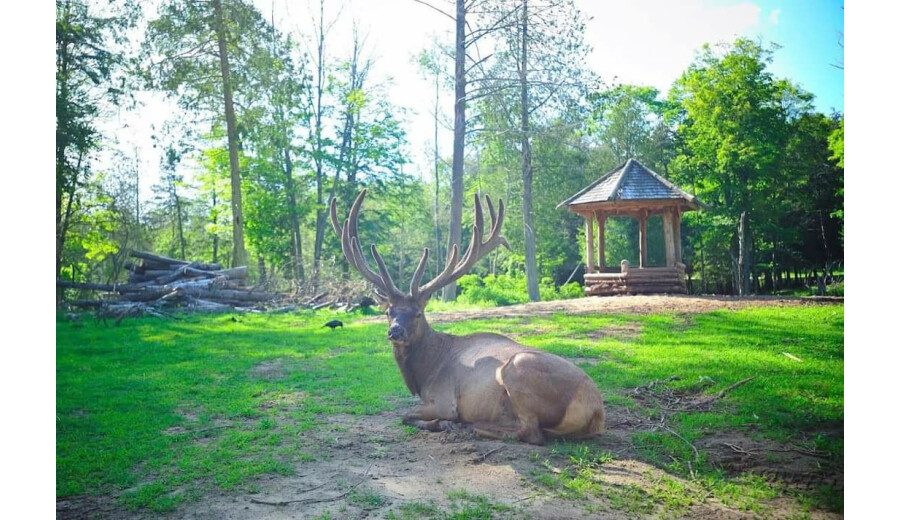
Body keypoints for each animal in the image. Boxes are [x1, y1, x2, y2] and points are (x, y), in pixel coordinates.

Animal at [332, 189, 604, 444]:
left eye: (418, 313)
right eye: (389, 312)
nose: (395, 331)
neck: (424, 374)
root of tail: (596, 411)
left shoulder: (444, 400)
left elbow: (405, 415)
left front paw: (442, 424)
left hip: (517, 367)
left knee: (531, 433)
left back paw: (471, 427)